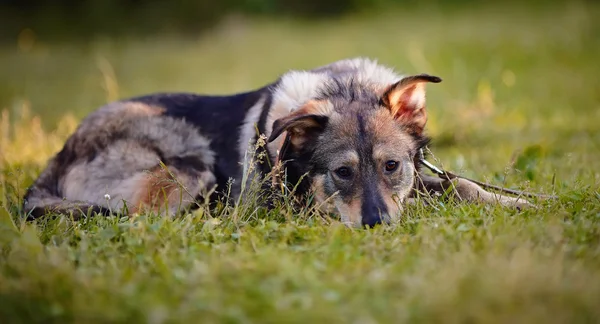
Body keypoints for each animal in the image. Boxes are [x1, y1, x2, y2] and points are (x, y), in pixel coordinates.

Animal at [23, 57, 528, 227]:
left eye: (392, 166)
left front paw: (518, 203)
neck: (344, 87)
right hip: (189, 169)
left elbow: (461, 185)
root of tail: (59, 154)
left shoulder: (416, 181)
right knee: (142, 222)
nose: (378, 225)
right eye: (341, 173)